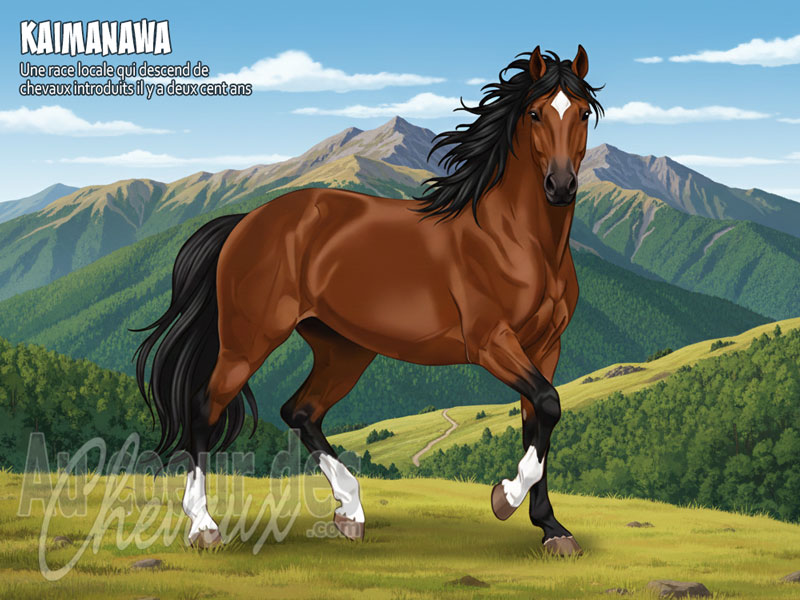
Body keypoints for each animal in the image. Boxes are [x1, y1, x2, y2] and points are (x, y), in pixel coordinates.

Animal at [134, 45, 604, 556]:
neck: (514, 240)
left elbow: (539, 420)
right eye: (535, 113)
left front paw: (552, 528)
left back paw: (350, 510)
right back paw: (204, 525)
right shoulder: (490, 343)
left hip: (344, 348)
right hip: (249, 339)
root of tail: (246, 221)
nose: (561, 186)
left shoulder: (546, 347)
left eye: (582, 113)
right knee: (206, 407)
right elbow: (549, 405)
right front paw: (505, 497)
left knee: (300, 412)